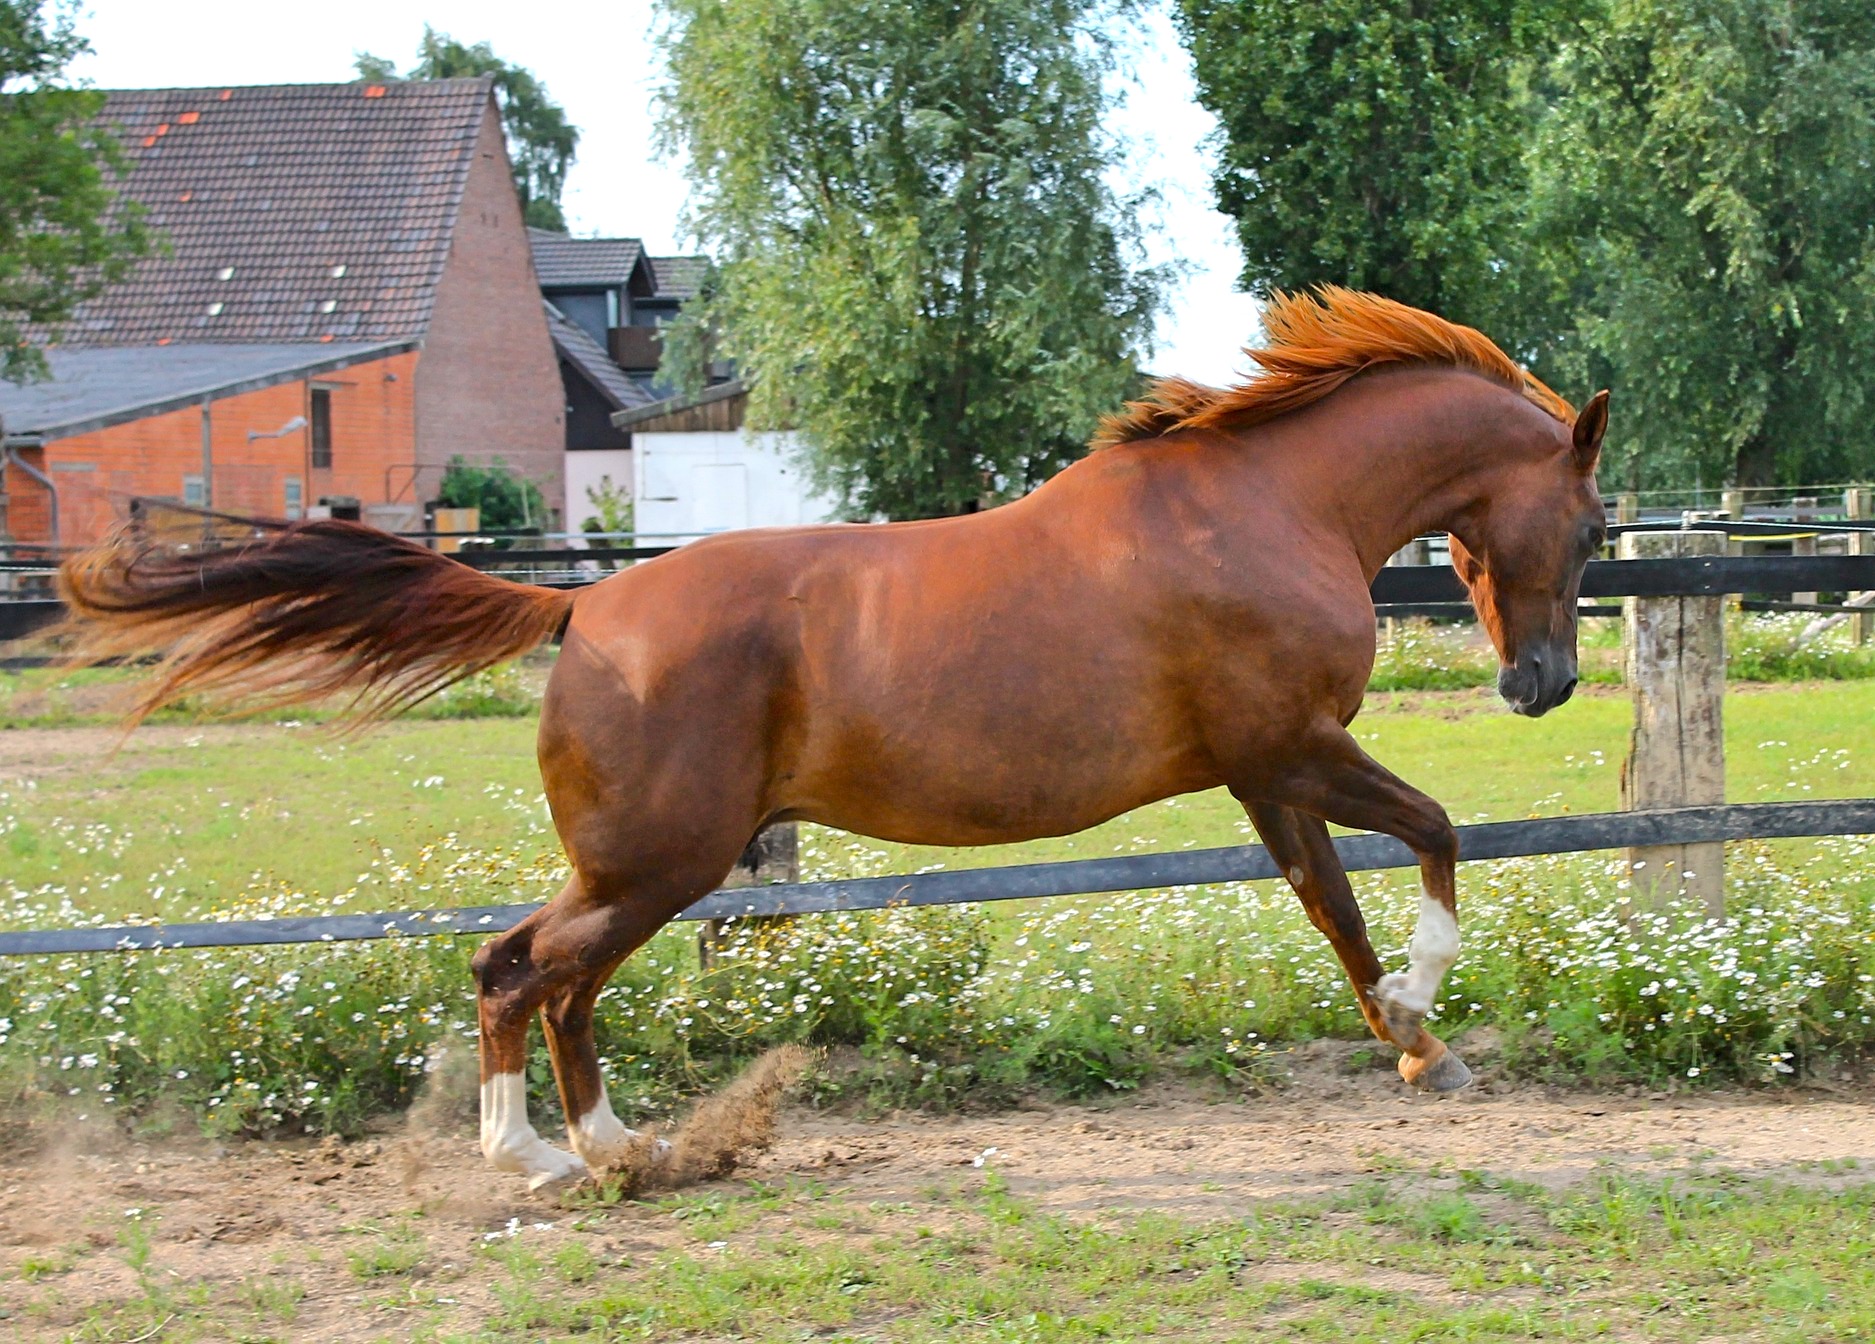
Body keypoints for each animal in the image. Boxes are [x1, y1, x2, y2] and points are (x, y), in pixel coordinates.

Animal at [59, 288, 1608, 1190]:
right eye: (1593, 523)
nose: (1542, 685)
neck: (1263, 506)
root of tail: (583, 608)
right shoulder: (1289, 745)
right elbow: (1431, 839)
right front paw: (1428, 1012)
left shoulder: (1259, 771)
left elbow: (1330, 906)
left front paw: (1412, 1044)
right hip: (661, 861)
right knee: (523, 973)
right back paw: (543, 1160)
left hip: (646, 865)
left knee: (547, 977)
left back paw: (622, 1146)